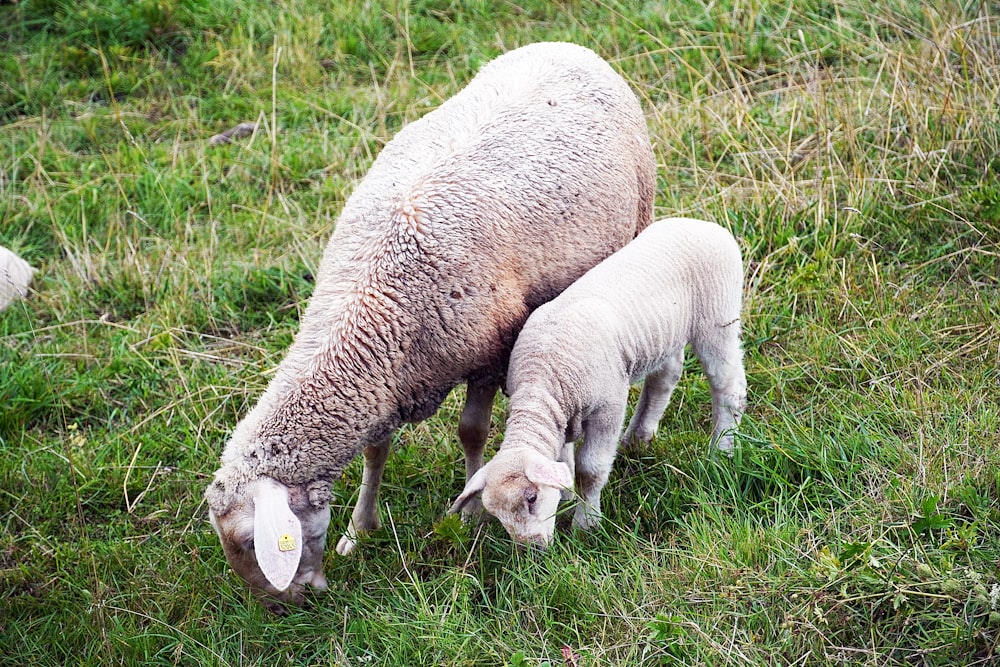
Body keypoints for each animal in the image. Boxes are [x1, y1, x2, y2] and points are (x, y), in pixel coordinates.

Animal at [203, 41, 656, 612]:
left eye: (250, 541)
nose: (287, 608)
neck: (369, 297)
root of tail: (570, 45)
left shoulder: (491, 353)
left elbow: (472, 431)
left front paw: (472, 512)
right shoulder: (385, 384)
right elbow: (375, 451)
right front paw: (360, 529)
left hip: (637, 222)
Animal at [450, 219, 748, 548]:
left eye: (531, 498)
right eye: (496, 514)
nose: (533, 548)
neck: (541, 382)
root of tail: (707, 225)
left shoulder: (608, 406)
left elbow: (590, 469)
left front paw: (586, 524)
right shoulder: (562, 415)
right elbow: (563, 459)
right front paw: (567, 495)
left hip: (717, 319)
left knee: (727, 387)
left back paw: (721, 450)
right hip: (666, 334)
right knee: (665, 375)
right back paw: (638, 438)